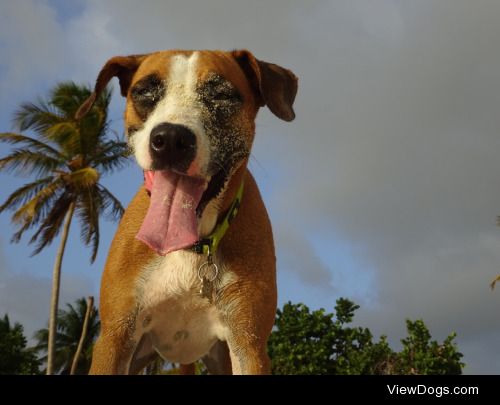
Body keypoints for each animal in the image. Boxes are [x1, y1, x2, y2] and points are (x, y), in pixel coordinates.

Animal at [75, 49, 296, 374]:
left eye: (222, 95)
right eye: (145, 92)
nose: (170, 139)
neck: (189, 246)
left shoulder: (249, 347)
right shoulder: (114, 339)